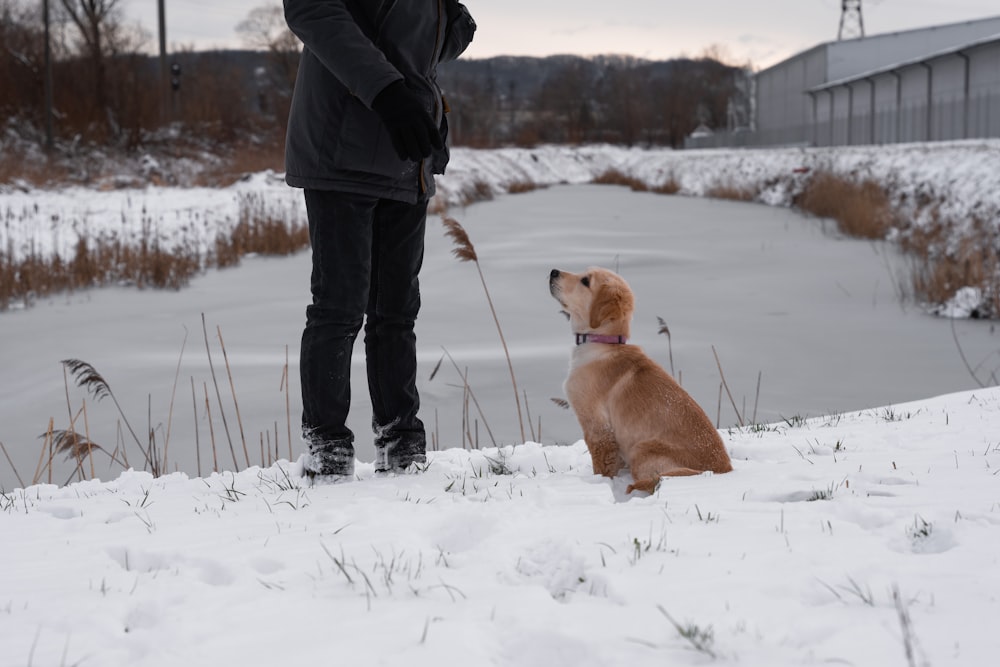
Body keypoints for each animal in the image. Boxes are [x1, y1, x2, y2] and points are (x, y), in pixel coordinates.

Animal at [552, 268, 732, 496]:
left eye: (585, 281)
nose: (553, 272)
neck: (604, 344)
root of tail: (723, 470)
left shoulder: (597, 426)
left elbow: (602, 465)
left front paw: (600, 483)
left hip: (642, 449)